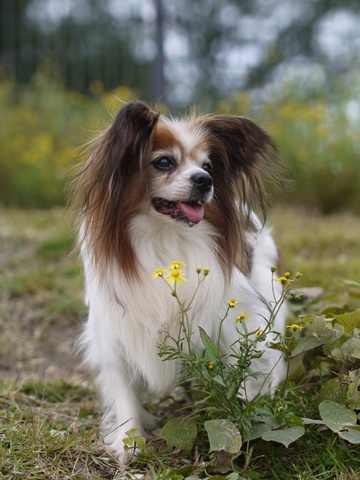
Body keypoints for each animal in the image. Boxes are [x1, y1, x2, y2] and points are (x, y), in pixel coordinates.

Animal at [71, 100, 286, 462]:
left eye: (208, 166)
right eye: (163, 162)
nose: (205, 180)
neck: (165, 238)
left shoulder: (231, 321)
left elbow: (242, 373)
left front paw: (244, 413)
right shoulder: (113, 333)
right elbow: (122, 389)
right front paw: (128, 441)